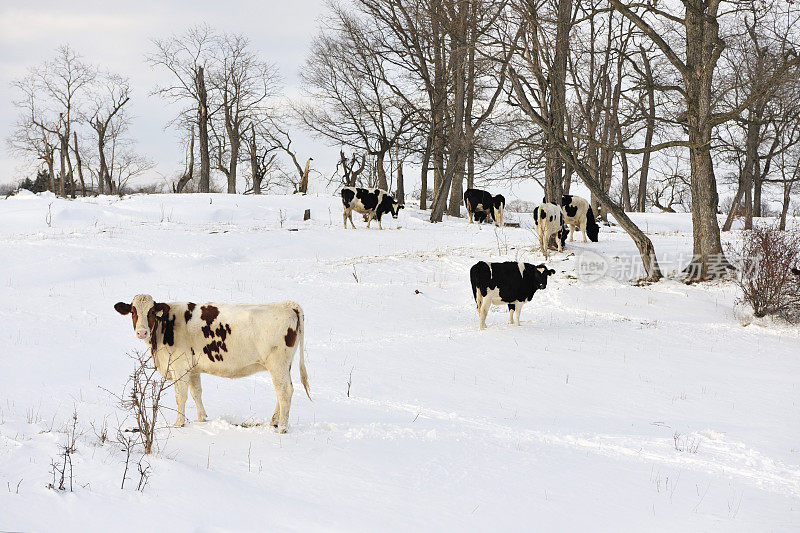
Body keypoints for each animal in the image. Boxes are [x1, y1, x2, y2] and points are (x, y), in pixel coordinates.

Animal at [112, 296, 310, 432]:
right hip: (284, 365)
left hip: (277, 363)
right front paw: (202, 419)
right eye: (133, 311)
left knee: (284, 391)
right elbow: (196, 393)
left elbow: (180, 396)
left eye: (152, 312)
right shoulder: (193, 368)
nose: (142, 332)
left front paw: (179, 424)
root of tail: (287, 304)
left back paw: (282, 428)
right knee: (282, 391)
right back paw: (274, 422)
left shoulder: (179, 366)